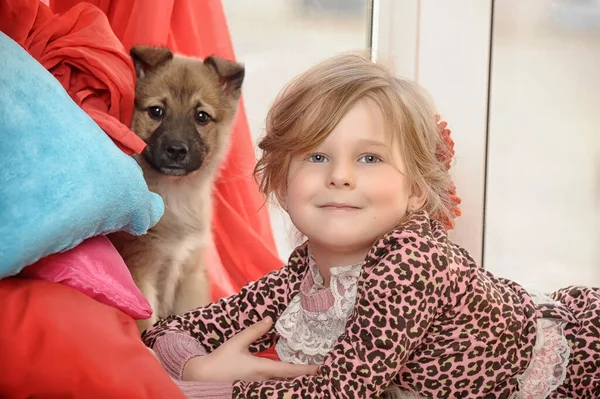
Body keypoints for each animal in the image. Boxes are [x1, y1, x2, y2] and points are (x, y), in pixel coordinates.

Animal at [110, 46, 244, 334]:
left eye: (201, 116)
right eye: (156, 111)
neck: (176, 196)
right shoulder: (140, 272)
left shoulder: (190, 274)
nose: (175, 150)